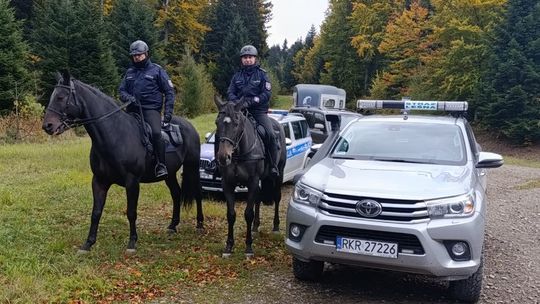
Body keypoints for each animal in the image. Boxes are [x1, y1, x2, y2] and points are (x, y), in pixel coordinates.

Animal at [41, 71, 202, 254]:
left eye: (61, 97)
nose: (47, 126)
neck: (116, 135)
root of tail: (189, 126)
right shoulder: (99, 181)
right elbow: (96, 212)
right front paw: (88, 244)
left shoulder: (132, 182)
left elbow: (131, 212)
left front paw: (132, 243)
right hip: (170, 174)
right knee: (176, 193)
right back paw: (173, 226)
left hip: (192, 167)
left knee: (197, 192)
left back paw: (199, 224)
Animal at [214, 96, 286, 258]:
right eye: (217, 122)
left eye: (236, 124)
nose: (223, 157)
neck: (239, 153)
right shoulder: (228, 184)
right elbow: (231, 214)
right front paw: (229, 246)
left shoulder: (252, 182)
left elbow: (248, 213)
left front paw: (248, 247)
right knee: (258, 199)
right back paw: (255, 227)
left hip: (279, 175)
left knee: (277, 197)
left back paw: (276, 226)